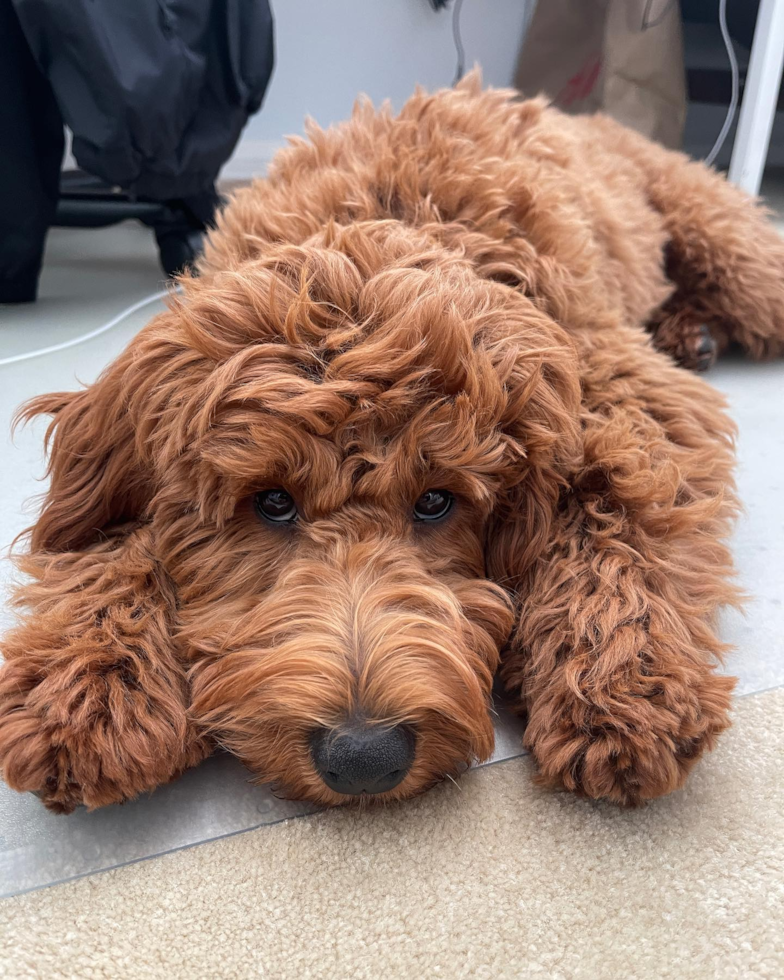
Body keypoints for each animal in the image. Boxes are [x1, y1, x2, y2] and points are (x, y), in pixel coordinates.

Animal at [1, 78, 784, 812]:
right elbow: (120, 540)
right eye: (272, 501)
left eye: (437, 501)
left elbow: (617, 501)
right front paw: (89, 679)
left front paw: (619, 674)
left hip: (728, 244)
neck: (382, 224)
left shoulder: (626, 391)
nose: (363, 758)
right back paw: (692, 328)